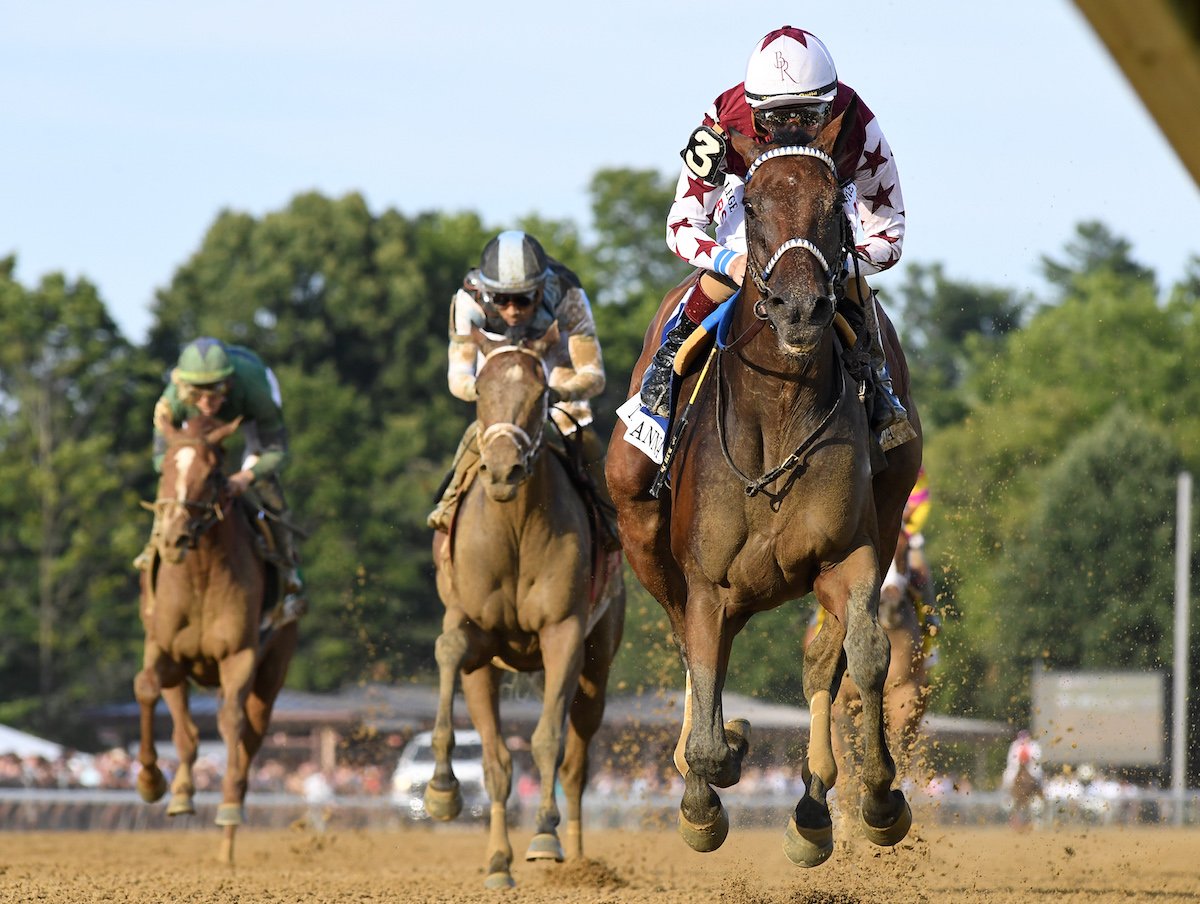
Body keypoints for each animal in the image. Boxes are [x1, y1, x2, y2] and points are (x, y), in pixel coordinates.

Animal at [133, 412, 295, 864]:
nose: (173, 537)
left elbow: (231, 722)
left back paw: (228, 838)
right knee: (186, 734)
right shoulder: (165, 651)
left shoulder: (240, 655)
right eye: (166, 471)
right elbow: (147, 688)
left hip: (273, 669)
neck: (202, 574)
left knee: (250, 737)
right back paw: (181, 794)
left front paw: (228, 808)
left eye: (211, 474)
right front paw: (151, 781)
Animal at [424, 324, 628, 888]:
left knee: (576, 764)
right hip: (489, 672)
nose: (503, 469)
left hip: (597, 665)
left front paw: (545, 838)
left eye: (540, 395)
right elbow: (449, 649)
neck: (514, 530)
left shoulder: (564, 633)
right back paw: (498, 860)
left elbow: (547, 743)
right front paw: (442, 788)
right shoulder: (475, 632)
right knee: (497, 761)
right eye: (479, 390)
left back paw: (576, 859)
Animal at [604, 102, 921, 864]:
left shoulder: (852, 555)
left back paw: (811, 813)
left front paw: (879, 798)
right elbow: (706, 687)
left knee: (822, 666)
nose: (801, 308)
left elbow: (865, 656)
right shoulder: (708, 581)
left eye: (834, 201)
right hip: (641, 527)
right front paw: (707, 789)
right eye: (749, 203)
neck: (778, 413)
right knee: (694, 653)